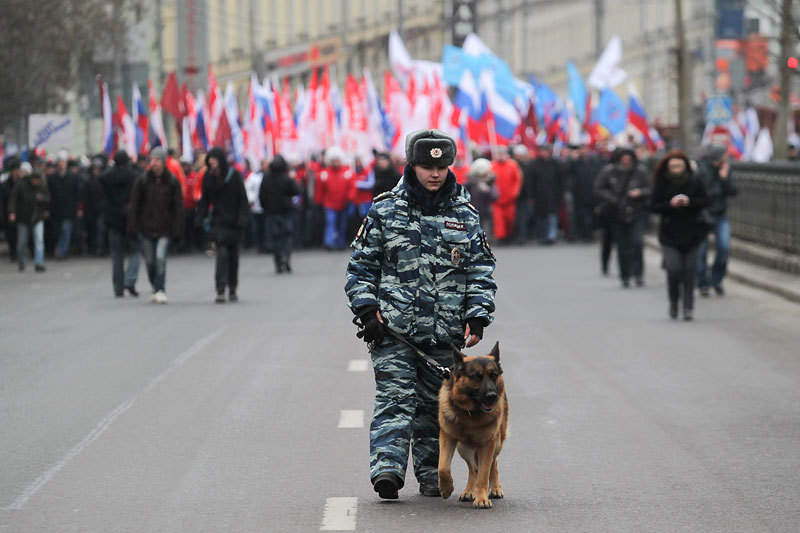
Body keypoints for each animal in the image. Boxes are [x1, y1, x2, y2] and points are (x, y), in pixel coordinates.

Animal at [438, 340, 506, 508]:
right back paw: (469, 491)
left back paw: (495, 488)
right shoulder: (447, 437)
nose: (492, 396)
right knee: (472, 468)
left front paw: (482, 498)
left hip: (497, 443)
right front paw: (446, 488)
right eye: (476, 377)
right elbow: (443, 467)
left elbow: (484, 473)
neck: (471, 414)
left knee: (491, 465)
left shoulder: (488, 443)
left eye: (493, 375)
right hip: (464, 448)